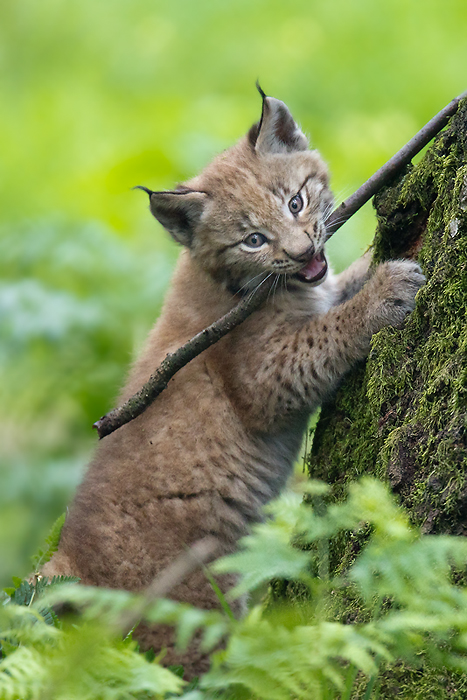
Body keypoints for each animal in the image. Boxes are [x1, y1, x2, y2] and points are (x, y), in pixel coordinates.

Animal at [43, 87, 424, 672]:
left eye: (296, 202)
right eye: (253, 240)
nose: (300, 252)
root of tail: (67, 560)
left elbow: (335, 289)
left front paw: (366, 267)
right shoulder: (263, 378)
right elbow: (328, 333)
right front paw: (384, 293)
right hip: (194, 613)